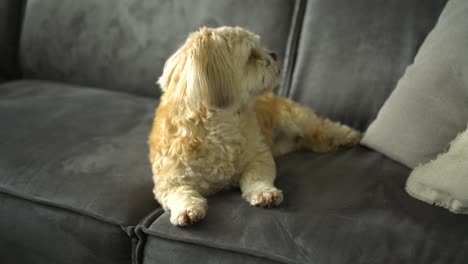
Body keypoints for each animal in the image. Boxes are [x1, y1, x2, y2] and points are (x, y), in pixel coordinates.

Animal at [148, 25, 360, 226]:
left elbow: (256, 177)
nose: (274, 54)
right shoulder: (169, 180)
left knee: (322, 125)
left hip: (296, 118)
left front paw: (264, 193)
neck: (220, 127)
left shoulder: (260, 155)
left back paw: (346, 135)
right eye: (251, 55)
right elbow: (179, 193)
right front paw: (186, 210)